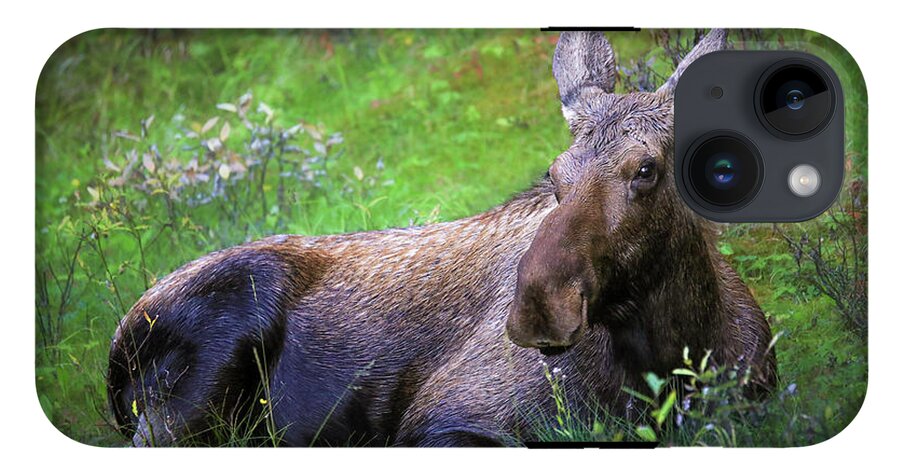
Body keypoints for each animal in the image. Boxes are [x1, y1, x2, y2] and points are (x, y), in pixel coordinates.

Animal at [109, 29, 776, 446]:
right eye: (554, 174)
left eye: (646, 170)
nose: (538, 306)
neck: (675, 355)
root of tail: (115, 354)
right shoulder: (444, 420)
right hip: (197, 383)